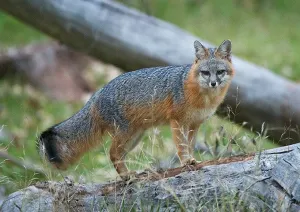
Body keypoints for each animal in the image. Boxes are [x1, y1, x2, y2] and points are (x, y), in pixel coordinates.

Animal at [38, 39, 234, 179]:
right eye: (206, 73)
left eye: (220, 72)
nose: (214, 83)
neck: (203, 98)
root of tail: (98, 92)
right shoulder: (177, 121)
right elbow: (182, 146)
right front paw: (186, 161)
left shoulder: (195, 124)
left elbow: (190, 145)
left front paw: (193, 160)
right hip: (126, 135)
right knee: (112, 154)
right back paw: (126, 177)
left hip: (134, 138)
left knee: (116, 155)